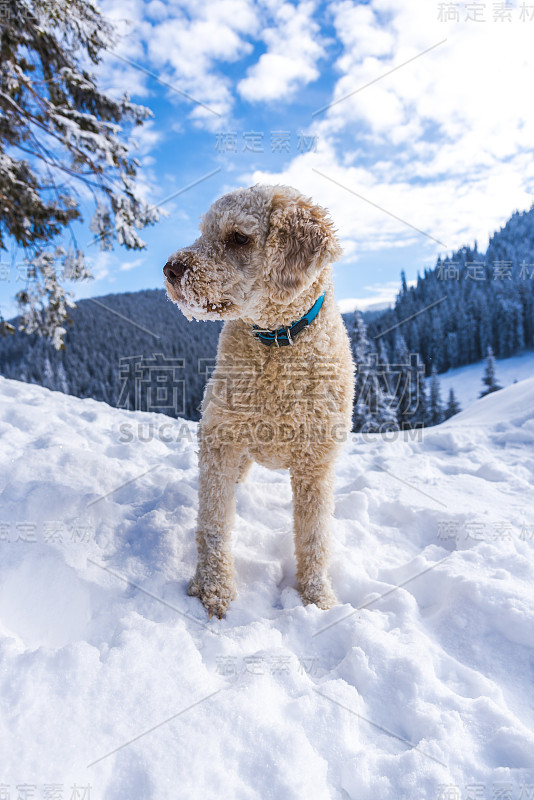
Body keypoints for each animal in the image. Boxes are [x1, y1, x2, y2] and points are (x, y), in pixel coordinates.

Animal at [163, 186, 356, 620]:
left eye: (238, 237)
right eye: (203, 231)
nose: (170, 269)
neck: (275, 344)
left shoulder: (315, 464)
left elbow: (314, 538)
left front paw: (317, 600)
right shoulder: (220, 441)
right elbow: (214, 522)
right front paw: (212, 590)